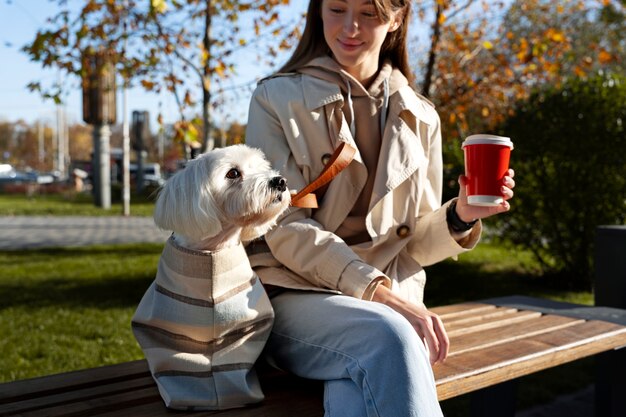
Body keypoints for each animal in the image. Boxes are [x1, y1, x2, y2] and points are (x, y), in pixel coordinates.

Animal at [132, 145, 290, 410]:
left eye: (262, 167)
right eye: (233, 173)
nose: (280, 181)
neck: (212, 255)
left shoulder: (245, 329)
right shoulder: (167, 335)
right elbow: (177, 361)